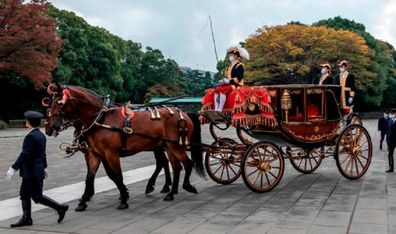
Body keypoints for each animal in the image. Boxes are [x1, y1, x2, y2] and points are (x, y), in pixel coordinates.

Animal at [43, 83, 204, 210]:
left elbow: (117, 176)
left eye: (59, 102)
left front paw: (124, 198)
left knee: (187, 163)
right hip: (168, 146)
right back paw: (170, 192)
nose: (50, 127)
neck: (101, 118)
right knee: (175, 167)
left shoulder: (111, 153)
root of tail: (184, 113)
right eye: (50, 103)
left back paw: (186, 186)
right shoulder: (94, 154)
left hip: (176, 146)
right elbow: (90, 177)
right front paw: (83, 200)